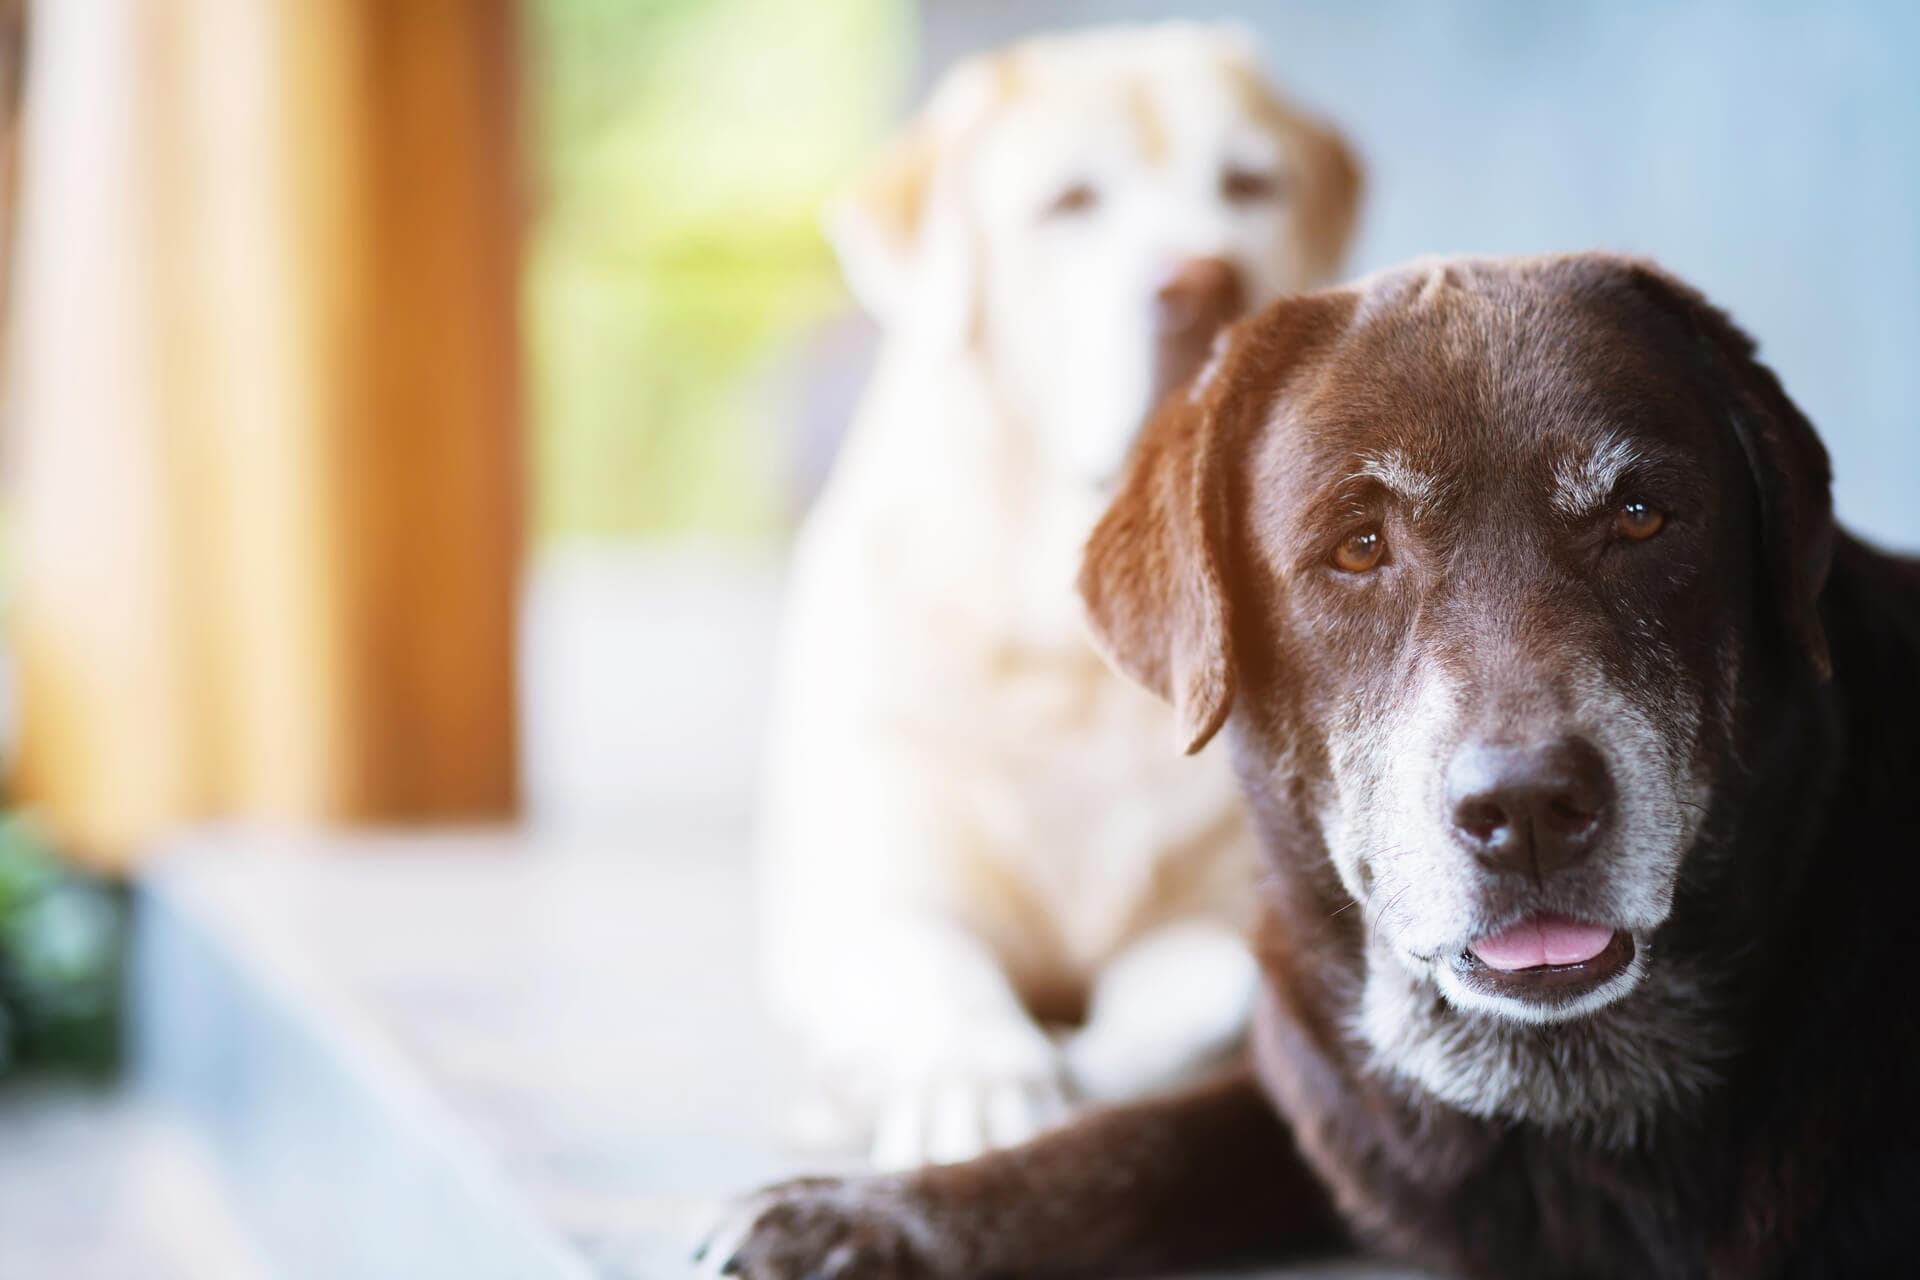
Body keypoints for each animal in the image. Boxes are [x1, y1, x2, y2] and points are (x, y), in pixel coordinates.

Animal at [702, 253, 1920, 1280]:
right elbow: (1138, 1141)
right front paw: (869, 1210)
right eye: (1359, 547)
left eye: (1639, 516)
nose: (1526, 805)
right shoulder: (1317, 1091)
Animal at [756, 22, 1359, 1174]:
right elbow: (942, 981)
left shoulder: (1244, 903)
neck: (1072, 657)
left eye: (1249, 183)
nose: (1202, 279)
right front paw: (977, 1085)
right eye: (1070, 203)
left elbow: (1200, 993)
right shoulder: (870, 905)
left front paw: (1103, 1067)